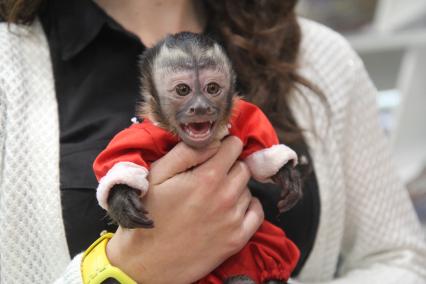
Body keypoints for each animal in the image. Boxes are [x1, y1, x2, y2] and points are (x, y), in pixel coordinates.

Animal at [101, 31, 302, 284]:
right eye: (183, 90)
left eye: (212, 88)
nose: (200, 107)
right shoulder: (146, 133)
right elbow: (122, 155)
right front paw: (121, 196)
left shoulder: (240, 118)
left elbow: (259, 143)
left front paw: (285, 172)